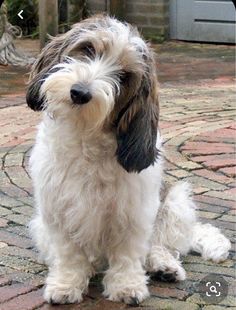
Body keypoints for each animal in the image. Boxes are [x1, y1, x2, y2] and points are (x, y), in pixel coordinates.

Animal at [26, 14, 230, 306]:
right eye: (88, 50)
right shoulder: (57, 211)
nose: (80, 92)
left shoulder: (134, 212)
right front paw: (66, 283)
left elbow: (128, 252)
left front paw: (126, 285)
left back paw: (164, 266)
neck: (86, 137)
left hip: (175, 203)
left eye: (124, 76)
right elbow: (69, 253)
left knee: (159, 246)